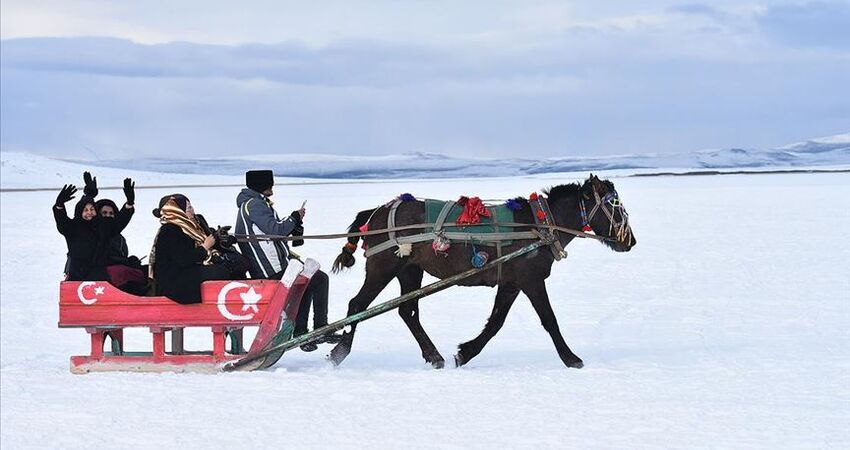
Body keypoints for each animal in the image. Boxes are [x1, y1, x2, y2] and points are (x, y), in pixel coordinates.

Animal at [328, 174, 632, 368]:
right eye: (615, 207)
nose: (631, 241)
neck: (540, 224)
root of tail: (375, 213)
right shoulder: (531, 279)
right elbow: (549, 319)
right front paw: (571, 358)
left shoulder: (511, 283)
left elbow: (496, 322)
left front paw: (465, 353)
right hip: (383, 266)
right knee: (358, 305)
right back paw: (339, 352)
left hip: (410, 269)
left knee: (408, 311)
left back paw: (434, 356)